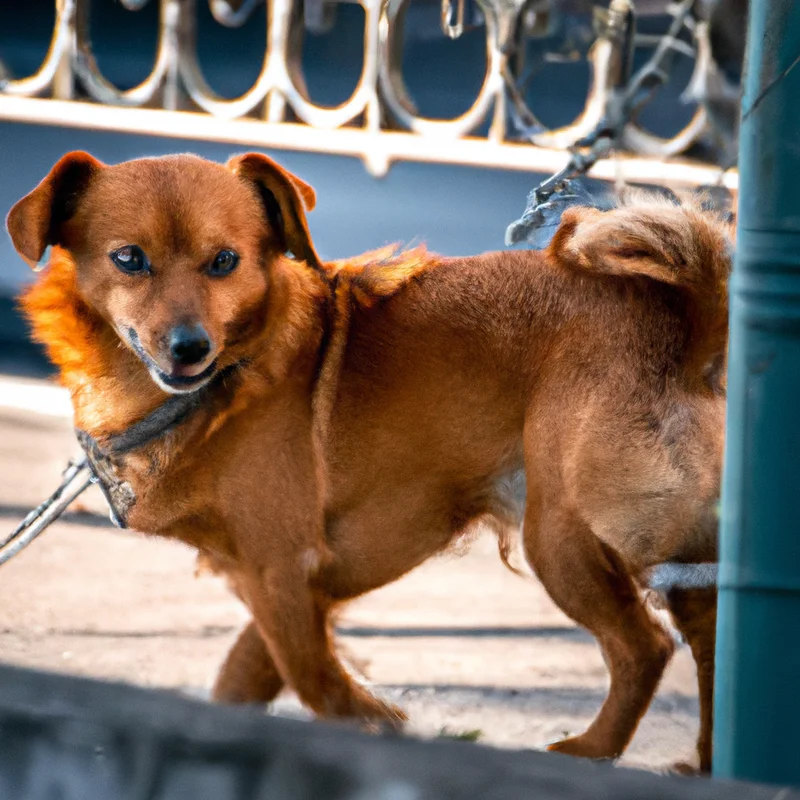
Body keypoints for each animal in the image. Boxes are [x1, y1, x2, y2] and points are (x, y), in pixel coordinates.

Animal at [4, 150, 732, 768]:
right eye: (129, 259)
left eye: (225, 261)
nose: (189, 347)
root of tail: (689, 323)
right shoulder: (281, 580)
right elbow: (249, 674)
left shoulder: (281, 569)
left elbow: (311, 679)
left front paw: (372, 721)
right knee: (711, 630)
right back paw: (702, 761)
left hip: (568, 532)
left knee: (646, 645)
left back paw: (592, 752)